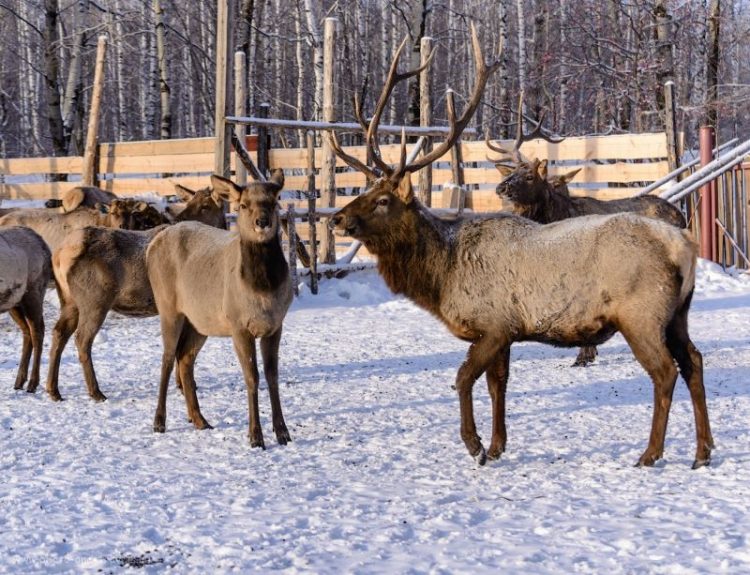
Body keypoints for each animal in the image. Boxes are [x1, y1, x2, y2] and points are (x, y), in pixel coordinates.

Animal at [0, 227, 51, 394]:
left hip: (34, 293)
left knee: (38, 332)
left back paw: (32, 383)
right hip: (14, 303)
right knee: (26, 332)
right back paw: (19, 381)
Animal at [46, 183, 229, 400]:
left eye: (205, 205)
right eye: (193, 203)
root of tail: (60, 255)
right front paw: (184, 386)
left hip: (69, 301)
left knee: (59, 332)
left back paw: (53, 389)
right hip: (94, 300)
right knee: (82, 339)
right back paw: (96, 392)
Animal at [145, 171, 292, 450]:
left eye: (274, 201)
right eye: (243, 205)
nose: (262, 222)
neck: (262, 290)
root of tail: (151, 246)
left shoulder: (275, 325)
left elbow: (273, 376)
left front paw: (283, 433)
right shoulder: (238, 326)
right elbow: (252, 377)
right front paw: (255, 436)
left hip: (200, 321)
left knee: (185, 358)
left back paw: (200, 419)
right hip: (168, 307)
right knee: (167, 357)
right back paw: (159, 422)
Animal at [330, 24, 716, 470]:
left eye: (382, 200)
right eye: (365, 190)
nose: (336, 218)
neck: (442, 277)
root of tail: (684, 246)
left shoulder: (494, 323)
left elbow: (463, 379)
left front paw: (475, 445)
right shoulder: (505, 333)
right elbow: (498, 385)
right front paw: (498, 446)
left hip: (641, 313)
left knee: (665, 372)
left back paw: (650, 453)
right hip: (677, 314)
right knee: (694, 362)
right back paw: (703, 452)